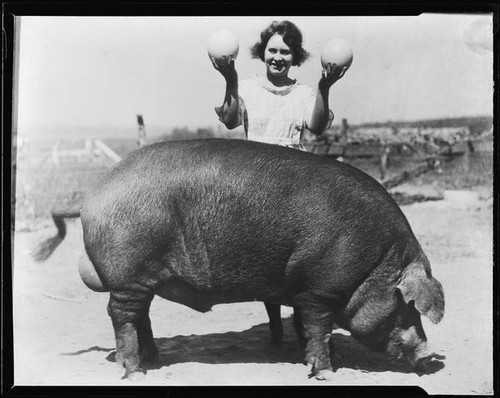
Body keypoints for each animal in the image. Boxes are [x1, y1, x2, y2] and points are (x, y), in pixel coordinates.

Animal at [33, 139, 444, 380]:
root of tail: (90, 197)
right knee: (120, 317)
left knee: (139, 316)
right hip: (127, 275)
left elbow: (312, 329)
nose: (431, 355)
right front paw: (326, 373)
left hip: (139, 280)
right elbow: (318, 328)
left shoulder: (304, 291)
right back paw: (135, 372)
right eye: (407, 306)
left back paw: (154, 358)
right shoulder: (318, 289)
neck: (374, 264)